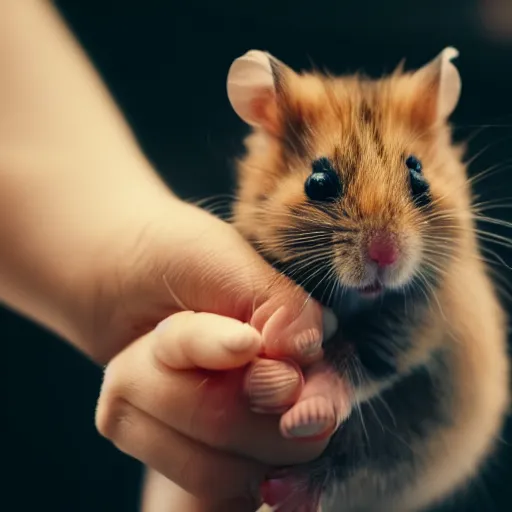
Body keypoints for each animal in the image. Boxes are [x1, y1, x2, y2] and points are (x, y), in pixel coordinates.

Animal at [226, 48, 510, 512]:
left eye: (418, 173)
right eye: (318, 181)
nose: (384, 255)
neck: (359, 299)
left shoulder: (420, 319)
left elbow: (359, 358)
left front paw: (305, 407)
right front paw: (279, 323)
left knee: (346, 469)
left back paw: (286, 488)